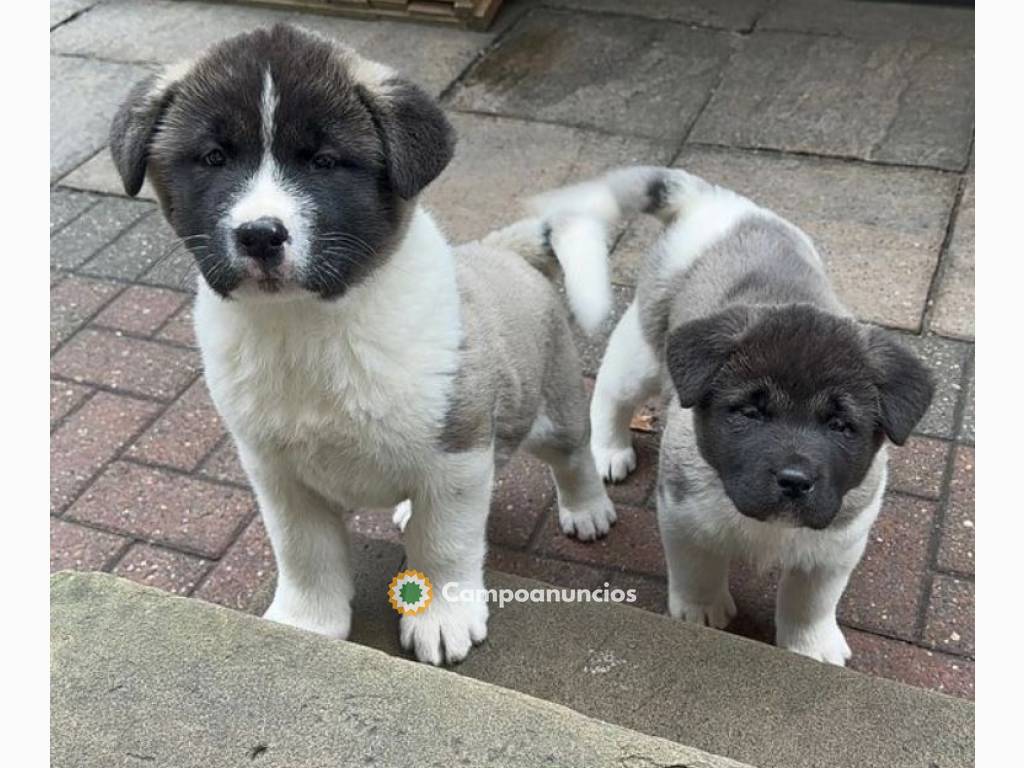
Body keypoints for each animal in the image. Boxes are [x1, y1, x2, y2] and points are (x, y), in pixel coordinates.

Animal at [110, 25, 614, 667]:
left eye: (325, 162)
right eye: (214, 158)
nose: (260, 235)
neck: (308, 325)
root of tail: (503, 250)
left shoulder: (456, 451)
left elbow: (445, 542)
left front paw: (442, 616)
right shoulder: (277, 473)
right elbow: (303, 551)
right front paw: (306, 622)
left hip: (551, 407)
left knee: (572, 453)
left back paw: (588, 509)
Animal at [536, 167, 937, 667]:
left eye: (841, 426)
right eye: (749, 413)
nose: (794, 481)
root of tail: (715, 201)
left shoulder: (838, 540)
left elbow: (811, 599)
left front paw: (810, 644)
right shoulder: (684, 515)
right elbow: (699, 571)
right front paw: (702, 612)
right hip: (644, 350)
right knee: (611, 389)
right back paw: (608, 449)